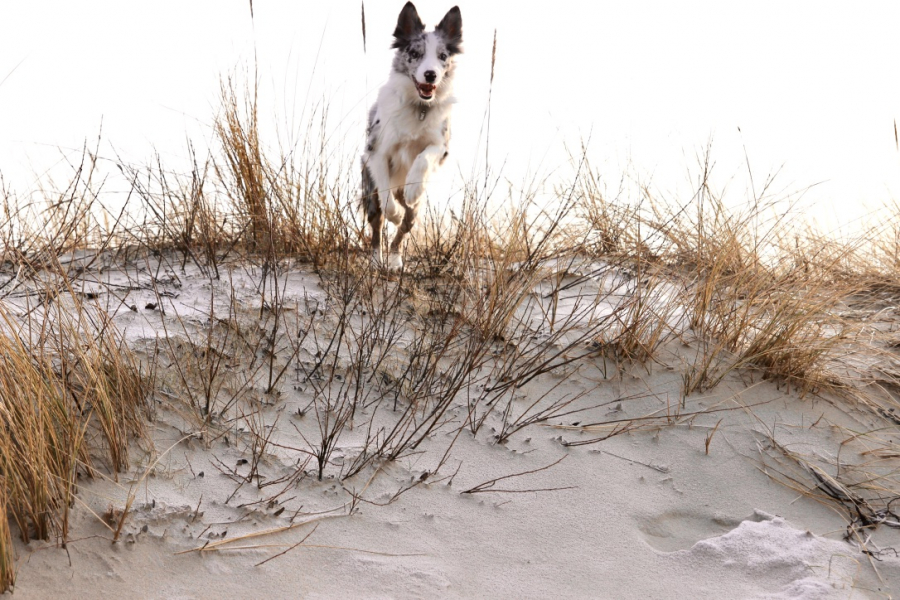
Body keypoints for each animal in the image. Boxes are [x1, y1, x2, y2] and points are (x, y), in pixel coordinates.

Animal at [358, 1, 460, 270]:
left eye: (442, 57)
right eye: (415, 53)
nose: (430, 74)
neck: (419, 106)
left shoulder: (441, 146)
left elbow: (424, 157)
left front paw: (414, 185)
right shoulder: (377, 152)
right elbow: (386, 199)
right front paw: (393, 214)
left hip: (417, 208)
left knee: (405, 227)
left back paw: (395, 261)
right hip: (369, 192)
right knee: (378, 225)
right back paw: (377, 261)